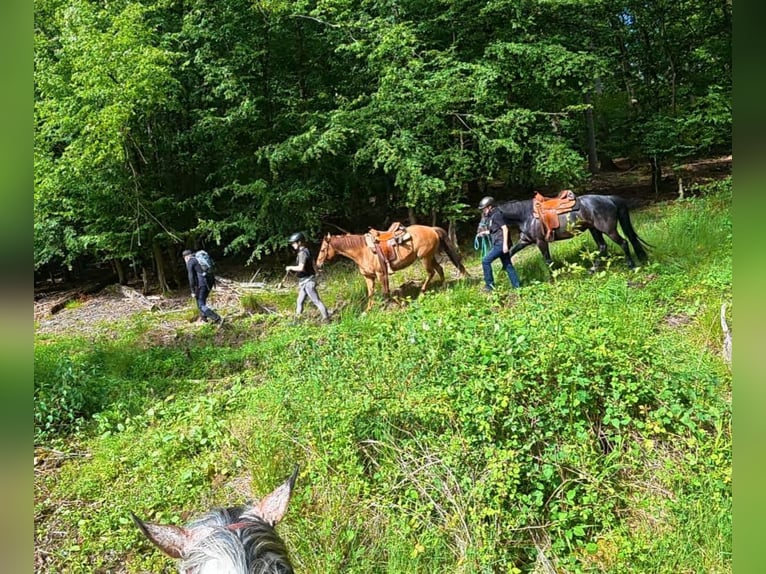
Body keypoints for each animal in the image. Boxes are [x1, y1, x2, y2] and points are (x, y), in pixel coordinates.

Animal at [316, 224, 468, 310]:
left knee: (431, 273)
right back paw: (443, 287)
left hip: (424, 258)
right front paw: (367, 311)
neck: (362, 251)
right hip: (429, 257)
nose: (317, 265)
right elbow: (371, 294)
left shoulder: (381, 274)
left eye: (322, 250)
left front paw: (396, 304)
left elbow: (385, 292)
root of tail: (432, 229)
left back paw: (422, 293)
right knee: (439, 269)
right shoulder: (369, 277)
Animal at [497, 194, 651, 271]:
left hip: (608, 230)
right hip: (594, 230)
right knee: (603, 247)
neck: (525, 215)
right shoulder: (525, 241)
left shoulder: (541, 242)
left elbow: (548, 261)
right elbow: (510, 253)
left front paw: (553, 276)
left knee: (624, 242)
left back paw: (631, 265)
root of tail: (609, 198)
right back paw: (593, 269)